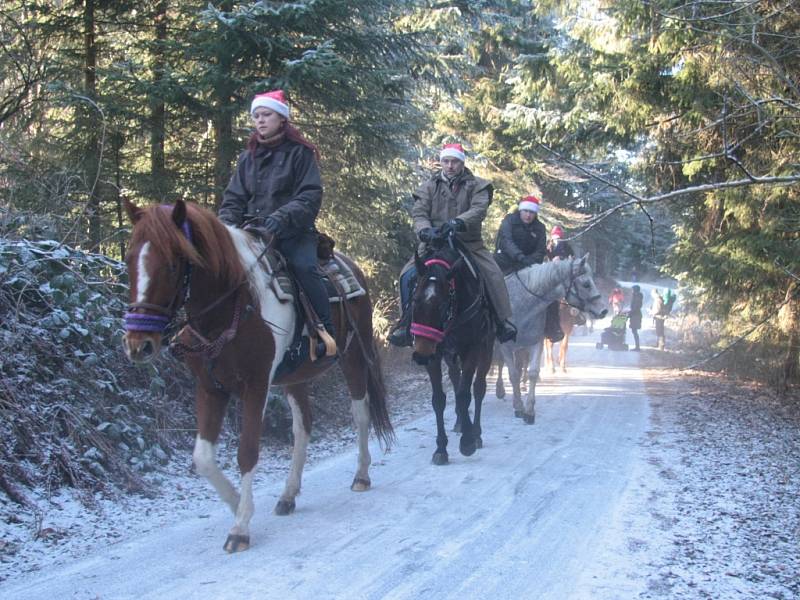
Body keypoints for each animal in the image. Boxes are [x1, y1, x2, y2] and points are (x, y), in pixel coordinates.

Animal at [120, 200, 392, 552]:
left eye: (171, 264)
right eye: (129, 259)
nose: (138, 344)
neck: (232, 308)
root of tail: (350, 266)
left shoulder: (255, 386)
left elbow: (247, 452)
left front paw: (240, 528)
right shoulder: (210, 389)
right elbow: (203, 458)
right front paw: (238, 503)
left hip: (354, 357)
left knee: (360, 412)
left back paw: (361, 475)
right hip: (295, 377)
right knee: (303, 427)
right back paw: (288, 495)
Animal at [410, 233, 496, 464]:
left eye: (442, 305)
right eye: (415, 300)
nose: (421, 355)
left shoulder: (472, 349)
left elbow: (465, 394)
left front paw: (467, 442)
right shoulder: (434, 354)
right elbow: (439, 399)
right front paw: (441, 448)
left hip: (486, 349)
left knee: (478, 388)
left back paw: (475, 433)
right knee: (457, 381)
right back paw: (460, 423)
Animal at [494, 255, 608, 424]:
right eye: (586, 284)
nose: (604, 310)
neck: (522, 305)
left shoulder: (535, 342)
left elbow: (533, 372)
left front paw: (529, 411)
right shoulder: (506, 345)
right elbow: (513, 374)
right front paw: (518, 406)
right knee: (502, 364)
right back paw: (500, 389)